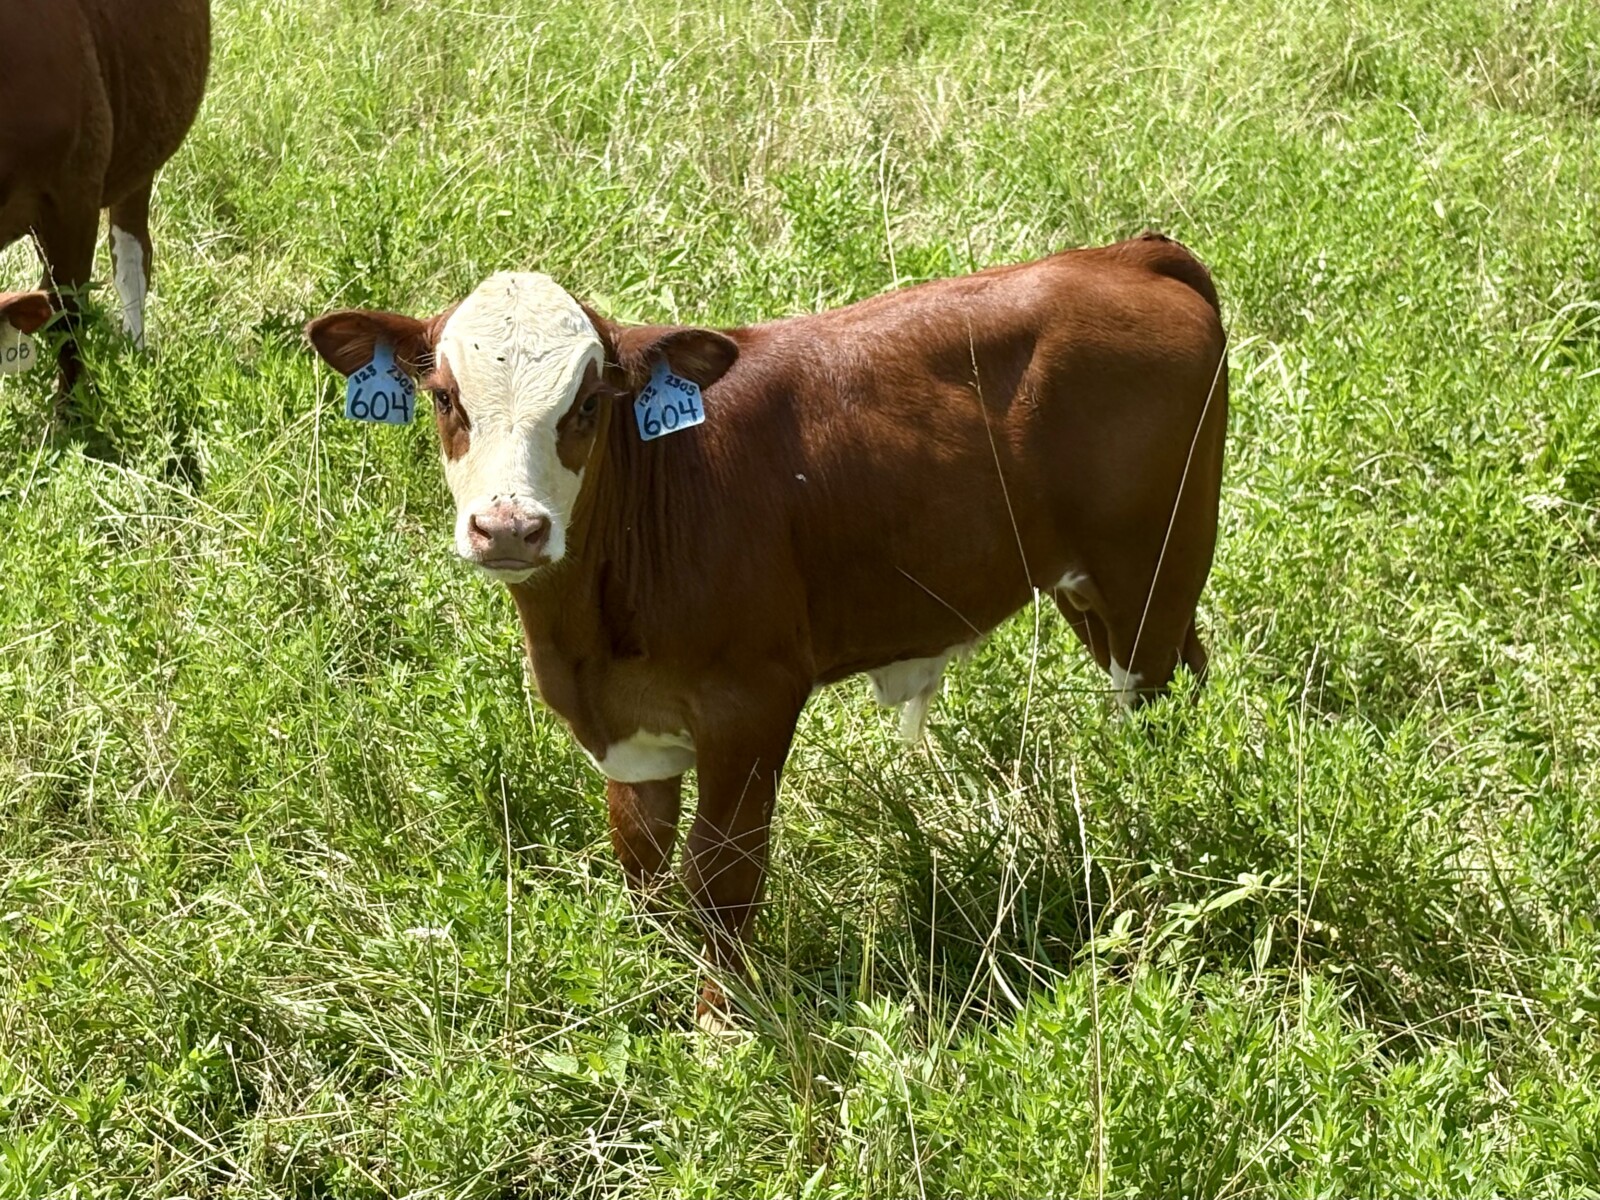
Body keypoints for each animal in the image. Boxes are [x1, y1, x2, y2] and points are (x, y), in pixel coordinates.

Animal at [307, 232, 1229, 1028]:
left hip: (1153, 566)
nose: (508, 528)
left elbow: (722, 869)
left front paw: (720, 1022)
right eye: (445, 397)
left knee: (1163, 694)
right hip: (1091, 588)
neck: (587, 634)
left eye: (588, 405)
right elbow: (641, 853)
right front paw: (651, 973)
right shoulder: (629, 729)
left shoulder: (750, 703)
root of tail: (1129, 255)